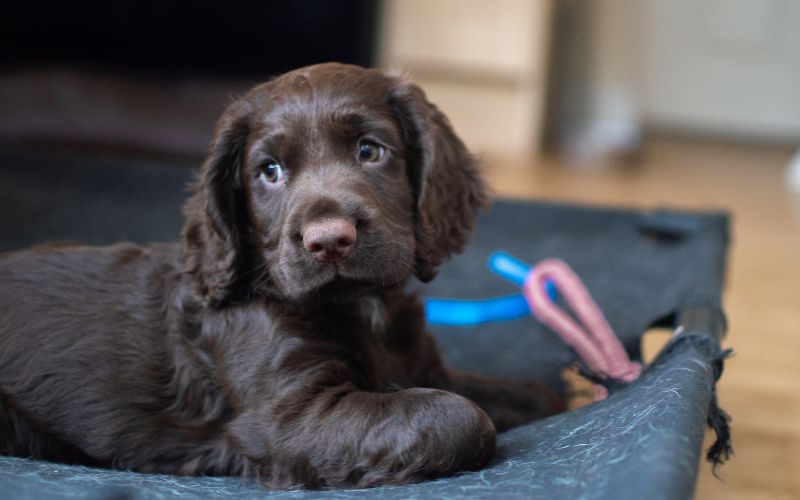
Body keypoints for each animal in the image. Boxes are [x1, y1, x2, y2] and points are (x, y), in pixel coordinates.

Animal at [0, 62, 564, 488]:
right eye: (269, 172)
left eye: (369, 151)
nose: (328, 240)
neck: (362, 307)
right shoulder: (291, 417)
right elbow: (458, 415)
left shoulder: (420, 365)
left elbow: (524, 393)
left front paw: (571, 389)